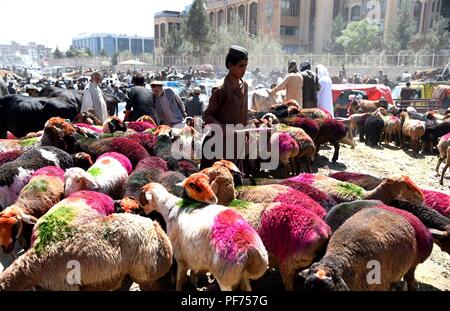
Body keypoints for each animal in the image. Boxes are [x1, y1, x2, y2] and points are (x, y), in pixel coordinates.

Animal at [139, 183, 268, 292]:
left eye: (142, 196)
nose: (141, 212)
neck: (169, 207)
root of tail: (251, 249)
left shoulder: (180, 256)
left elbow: (180, 279)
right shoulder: (192, 254)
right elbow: (192, 272)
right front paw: (193, 283)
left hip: (225, 275)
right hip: (242, 274)